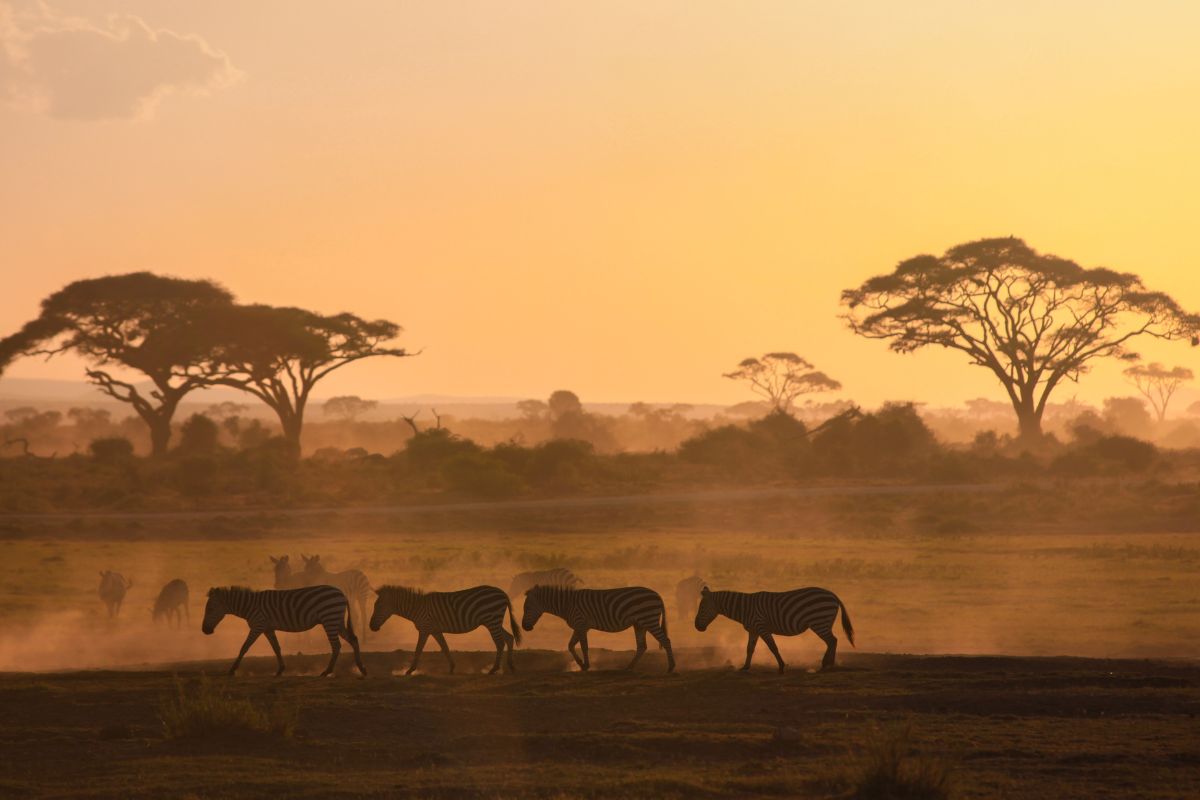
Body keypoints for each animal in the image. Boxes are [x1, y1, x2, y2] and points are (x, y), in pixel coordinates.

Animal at [201, 585, 364, 681]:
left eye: (210, 609)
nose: (204, 630)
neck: (249, 606)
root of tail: (341, 593)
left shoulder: (258, 625)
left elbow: (244, 647)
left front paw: (232, 670)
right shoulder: (267, 628)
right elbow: (276, 648)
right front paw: (280, 670)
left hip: (330, 619)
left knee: (336, 646)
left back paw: (326, 671)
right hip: (336, 621)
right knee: (354, 640)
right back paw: (361, 669)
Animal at [369, 582, 520, 676]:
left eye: (378, 606)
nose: (371, 626)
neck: (417, 608)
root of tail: (502, 593)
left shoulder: (425, 628)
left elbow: (418, 649)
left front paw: (410, 670)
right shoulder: (435, 630)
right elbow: (445, 648)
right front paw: (452, 667)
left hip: (492, 620)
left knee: (500, 642)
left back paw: (494, 669)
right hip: (495, 621)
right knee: (509, 637)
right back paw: (511, 666)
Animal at [523, 585, 676, 671]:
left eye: (527, 608)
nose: (525, 627)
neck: (566, 604)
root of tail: (657, 595)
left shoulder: (581, 624)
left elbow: (583, 646)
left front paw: (586, 665)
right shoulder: (580, 626)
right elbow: (570, 645)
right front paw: (581, 664)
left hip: (649, 619)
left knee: (666, 640)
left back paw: (671, 667)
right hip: (640, 624)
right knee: (642, 646)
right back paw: (629, 667)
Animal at [696, 585, 854, 671]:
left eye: (702, 608)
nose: (696, 626)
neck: (745, 608)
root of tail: (833, 595)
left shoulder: (761, 627)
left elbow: (773, 647)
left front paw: (782, 666)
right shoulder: (754, 630)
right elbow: (750, 648)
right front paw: (745, 667)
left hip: (819, 622)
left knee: (832, 641)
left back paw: (827, 665)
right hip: (823, 622)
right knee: (832, 641)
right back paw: (827, 664)